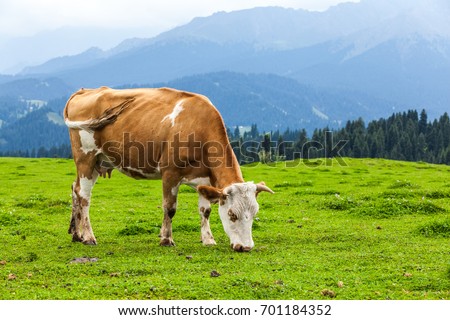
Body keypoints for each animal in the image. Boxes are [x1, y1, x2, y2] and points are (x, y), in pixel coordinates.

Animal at [63, 86, 274, 251]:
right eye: (232, 214)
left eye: (254, 214)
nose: (246, 247)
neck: (198, 127)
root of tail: (84, 91)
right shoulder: (170, 173)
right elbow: (170, 208)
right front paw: (166, 239)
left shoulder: (204, 179)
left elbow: (205, 210)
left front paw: (208, 239)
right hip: (86, 158)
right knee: (84, 196)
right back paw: (88, 237)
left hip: (98, 162)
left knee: (75, 189)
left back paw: (76, 234)